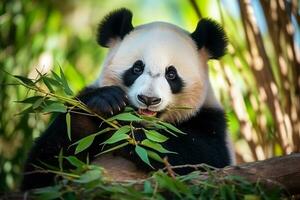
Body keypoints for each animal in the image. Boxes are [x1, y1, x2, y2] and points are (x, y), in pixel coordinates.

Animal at [22, 8, 236, 191]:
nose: (148, 99)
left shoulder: (210, 120)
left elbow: (203, 157)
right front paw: (106, 103)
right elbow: (44, 167)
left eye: (171, 74)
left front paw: (128, 133)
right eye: (137, 68)